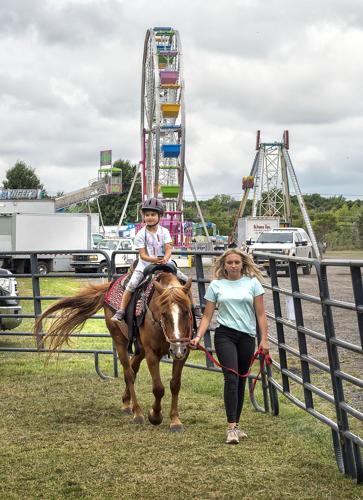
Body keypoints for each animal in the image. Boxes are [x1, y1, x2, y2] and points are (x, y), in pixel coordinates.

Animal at [35, 272, 195, 432]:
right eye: (164, 313)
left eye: (187, 311)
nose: (177, 348)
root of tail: (110, 286)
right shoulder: (152, 354)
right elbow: (158, 388)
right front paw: (155, 416)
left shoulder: (183, 354)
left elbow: (175, 385)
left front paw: (175, 420)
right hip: (120, 341)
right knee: (129, 373)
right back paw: (137, 413)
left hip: (141, 349)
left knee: (133, 368)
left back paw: (126, 403)